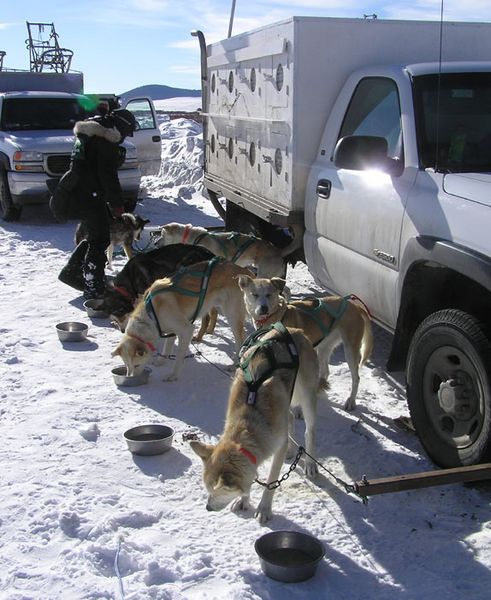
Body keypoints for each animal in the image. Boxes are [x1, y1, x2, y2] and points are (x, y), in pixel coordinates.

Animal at [113, 258, 252, 380]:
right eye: (127, 366)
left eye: (136, 365)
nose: (130, 378)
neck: (150, 314)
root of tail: (243, 271)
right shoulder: (171, 331)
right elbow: (166, 349)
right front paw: (160, 361)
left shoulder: (186, 330)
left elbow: (179, 357)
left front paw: (173, 375)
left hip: (231, 316)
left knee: (240, 340)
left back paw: (234, 365)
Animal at [190, 322, 320, 524]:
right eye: (208, 489)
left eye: (220, 492)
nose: (208, 507)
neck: (247, 419)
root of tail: (294, 330)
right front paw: (244, 500)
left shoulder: (277, 446)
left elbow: (271, 482)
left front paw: (264, 508)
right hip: (286, 400)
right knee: (290, 418)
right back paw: (292, 450)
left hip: (307, 396)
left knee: (310, 430)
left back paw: (310, 463)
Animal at [238, 276, 372, 412]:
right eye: (254, 294)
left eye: (269, 294)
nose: (263, 308)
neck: (277, 318)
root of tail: (355, 307)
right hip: (324, 347)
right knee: (325, 371)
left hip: (350, 350)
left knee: (356, 378)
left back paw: (351, 401)